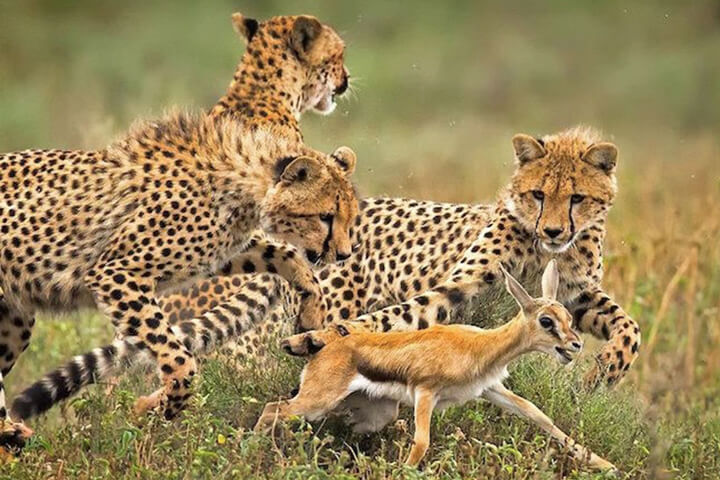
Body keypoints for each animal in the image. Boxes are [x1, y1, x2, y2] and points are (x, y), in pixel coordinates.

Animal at [0, 111, 360, 450]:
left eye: (349, 217)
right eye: (325, 217)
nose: (344, 253)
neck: (244, 182)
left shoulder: (220, 252)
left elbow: (284, 254)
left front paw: (311, 315)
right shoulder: (115, 274)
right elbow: (179, 358)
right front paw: (163, 407)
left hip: (15, 321)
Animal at [16, 127, 640, 428]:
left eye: (577, 198)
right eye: (537, 194)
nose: (555, 229)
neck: (540, 248)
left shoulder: (576, 296)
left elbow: (626, 328)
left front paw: (601, 375)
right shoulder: (458, 287)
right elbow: (396, 319)